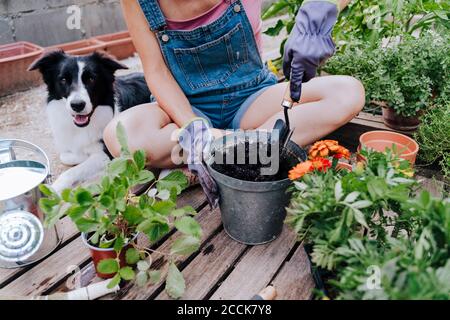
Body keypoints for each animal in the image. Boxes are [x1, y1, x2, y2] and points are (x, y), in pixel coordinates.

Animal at [29, 51, 153, 191]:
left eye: (91, 79)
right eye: (63, 80)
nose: (77, 105)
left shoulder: (106, 153)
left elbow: (72, 170)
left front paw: (54, 189)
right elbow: (66, 156)